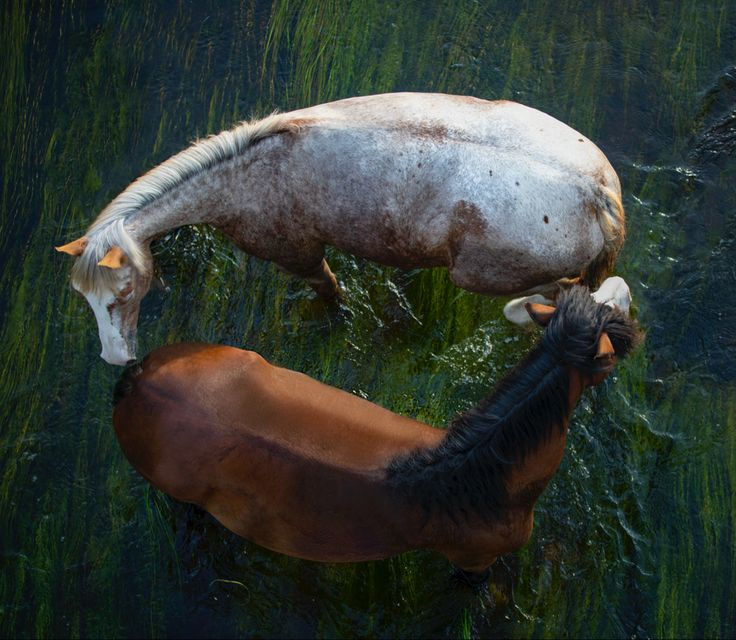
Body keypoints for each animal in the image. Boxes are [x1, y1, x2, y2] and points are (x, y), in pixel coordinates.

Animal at [55, 93, 626, 365]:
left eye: (120, 296)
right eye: (84, 299)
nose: (115, 358)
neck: (245, 174)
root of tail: (596, 191)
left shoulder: (298, 254)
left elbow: (329, 293)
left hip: (489, 275)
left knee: (592, 297)